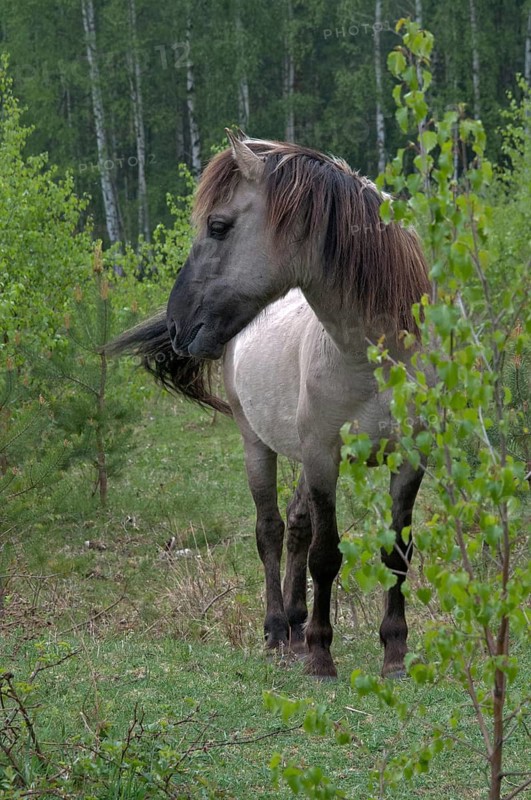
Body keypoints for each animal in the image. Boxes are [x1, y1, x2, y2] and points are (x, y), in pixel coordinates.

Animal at [109, 131, 431, 679]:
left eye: (218, 226)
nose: (177, 323)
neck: (372, 360)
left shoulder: (407, 460)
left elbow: (396, 553)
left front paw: (394, 654)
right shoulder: (323, 458)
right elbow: (326, 555)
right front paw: (322, 655)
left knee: (297, 526)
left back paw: (297, 626)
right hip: (255, 443)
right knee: (272, 532)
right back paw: (280, 632)